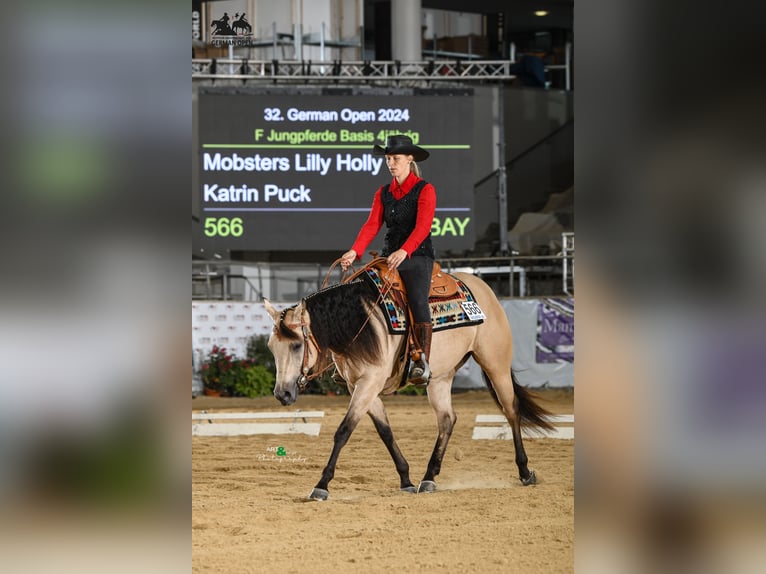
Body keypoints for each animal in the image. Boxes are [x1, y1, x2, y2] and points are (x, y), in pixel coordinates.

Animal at [264, 260, 552, 500]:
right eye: (271, 347)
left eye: (296, 346)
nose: (282, 394)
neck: (359, 321)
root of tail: (484, 289)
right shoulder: (361, 385)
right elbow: (385, 431)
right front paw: (406, 479)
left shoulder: (369, 382)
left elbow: (343, 431)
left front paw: (322, 485)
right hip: (441, 377)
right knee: (447, 419)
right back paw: (429, 477)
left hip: (496, 364)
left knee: (511, 409)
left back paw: (525, 472)